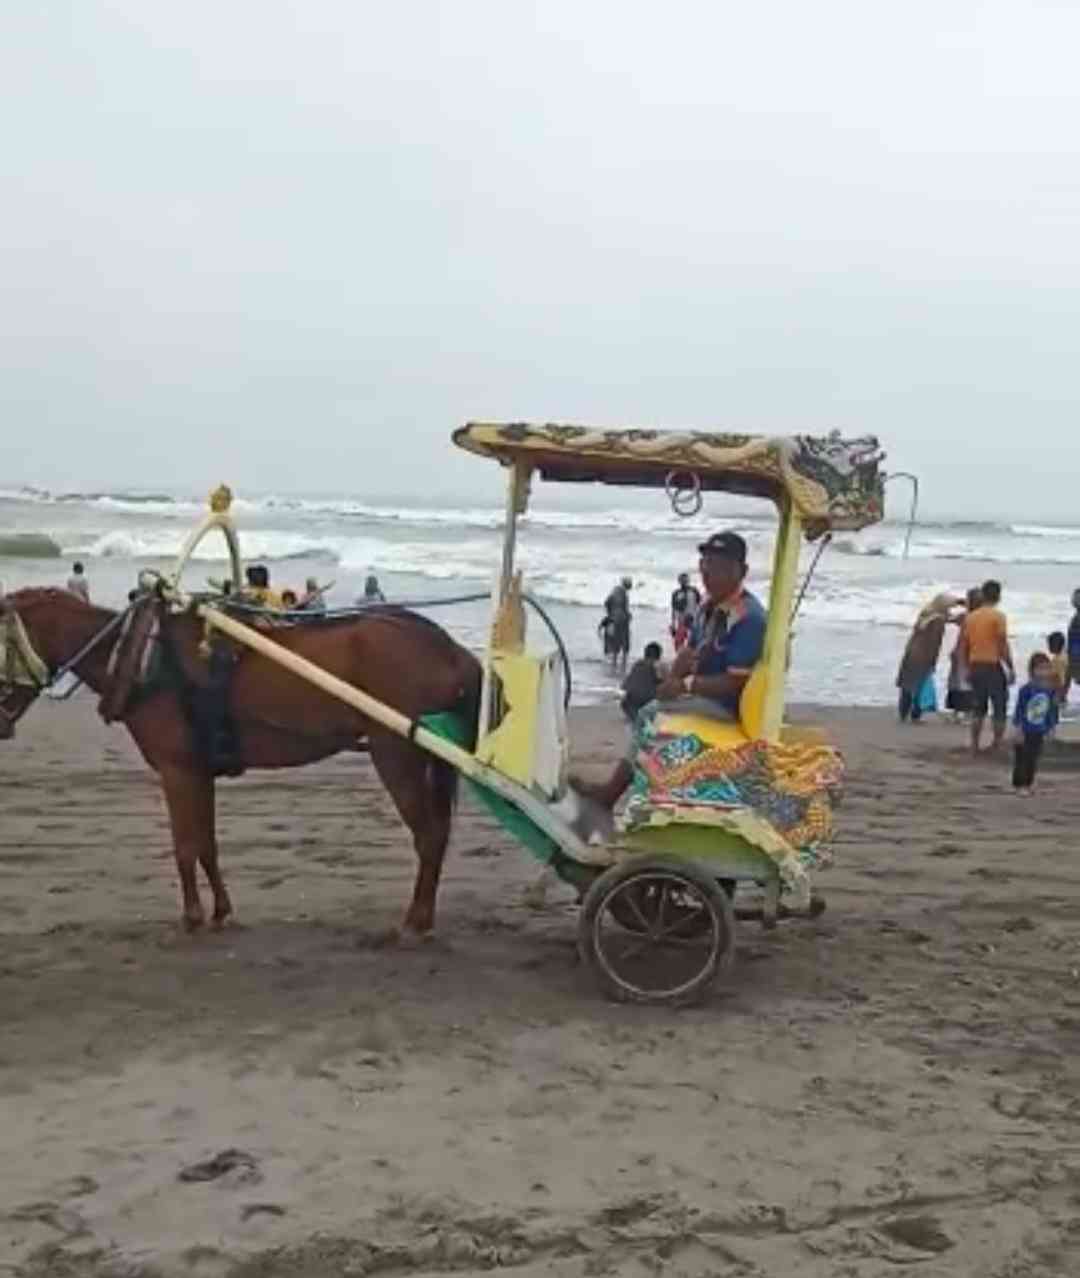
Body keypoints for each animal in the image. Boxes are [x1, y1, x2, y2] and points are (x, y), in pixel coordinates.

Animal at [0, 590, 480, 940]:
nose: (2, 726)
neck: (143, 657)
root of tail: (449, 648)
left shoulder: (177, 771)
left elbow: (184, 848)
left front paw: (192, 916)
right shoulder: (197, 773)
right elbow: (206, 845)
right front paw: (220, 911)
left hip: (395, 753)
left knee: (429, 836)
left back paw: (416, 920)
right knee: (437, 834)